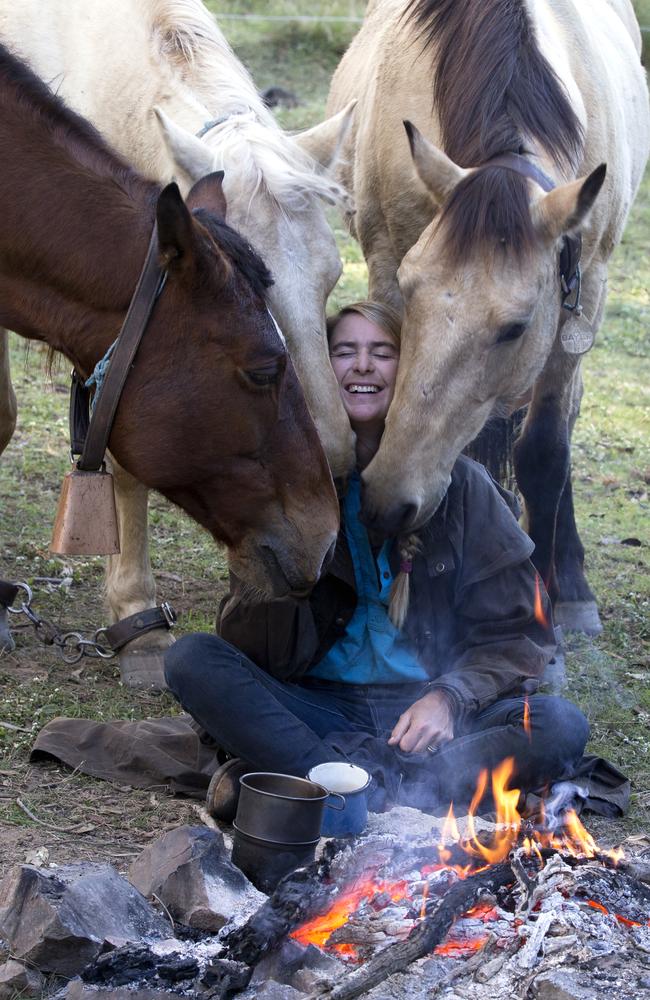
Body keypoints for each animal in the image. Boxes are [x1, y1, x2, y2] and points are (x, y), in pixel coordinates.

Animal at [330, 0, 648, 632]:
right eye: (410, 290)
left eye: (515, 327)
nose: (390, 499)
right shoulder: (386, 263)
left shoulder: (583, 293)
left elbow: (546, 450)